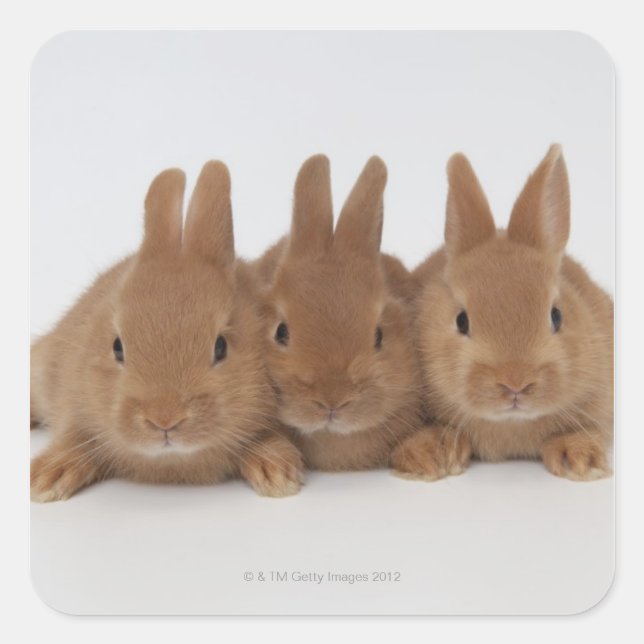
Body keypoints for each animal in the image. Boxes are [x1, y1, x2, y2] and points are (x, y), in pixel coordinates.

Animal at [30, 161, 303, 501]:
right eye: (117, 347)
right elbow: (74, 437)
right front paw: (47, 478)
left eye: (221, 347)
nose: (164, 419)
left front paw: (278, 474)